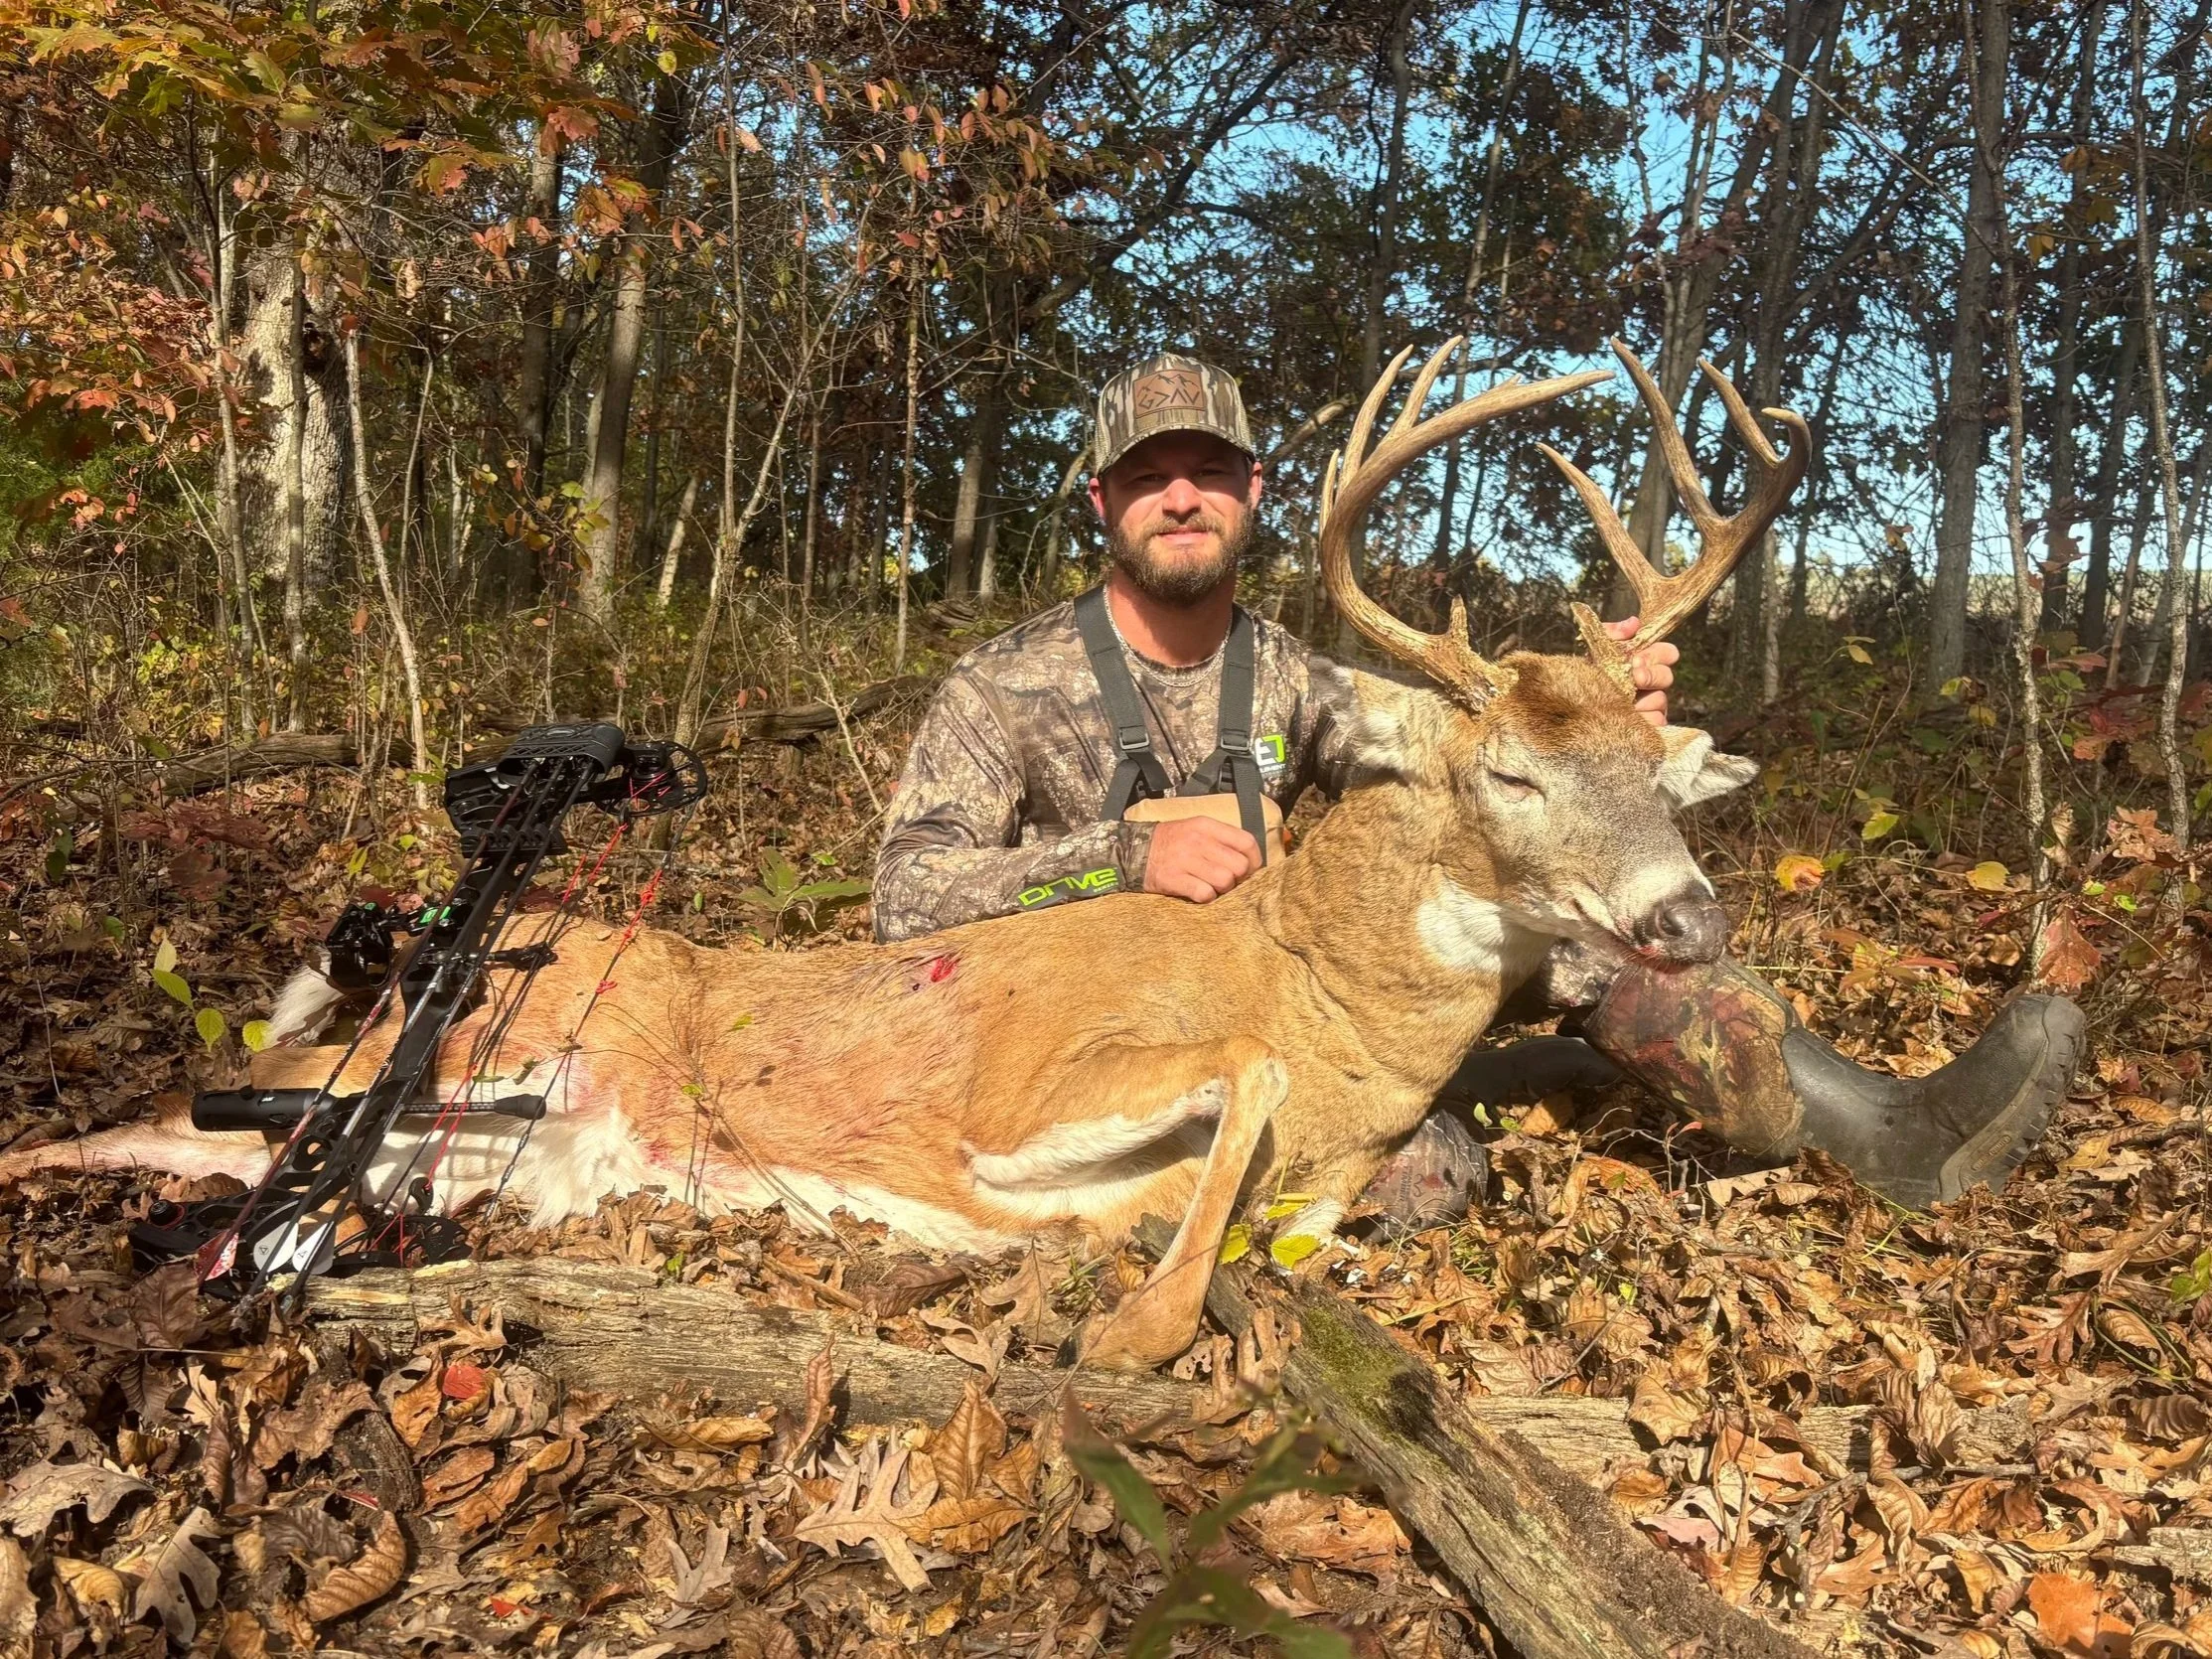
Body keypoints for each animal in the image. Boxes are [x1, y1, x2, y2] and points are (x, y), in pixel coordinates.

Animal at [0, 339, 1804, 1370]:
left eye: (1658, 771)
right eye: (1506, 768)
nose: (1687, 916)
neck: (1318, 984)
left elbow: (1310, 1210)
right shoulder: (1028, 1086)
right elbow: (1221, 1110)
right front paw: (1129, 1326)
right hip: (434, 1063)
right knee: (148, 1124)